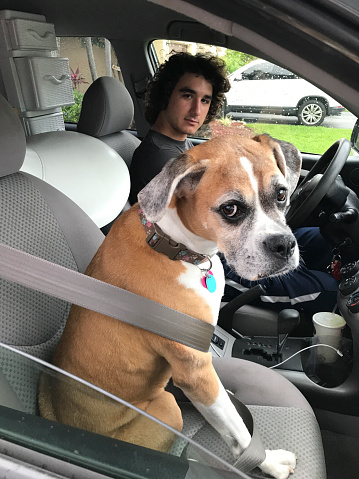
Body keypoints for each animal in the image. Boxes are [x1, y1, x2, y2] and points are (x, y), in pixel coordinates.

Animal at [38, 132, 304, 479]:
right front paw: (268, 461)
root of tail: (54, 415)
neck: (170, 243)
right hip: (168, 410)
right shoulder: (194, 369)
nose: (284, 245)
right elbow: (238, 433)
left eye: (282, 194)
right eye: (231, 209)